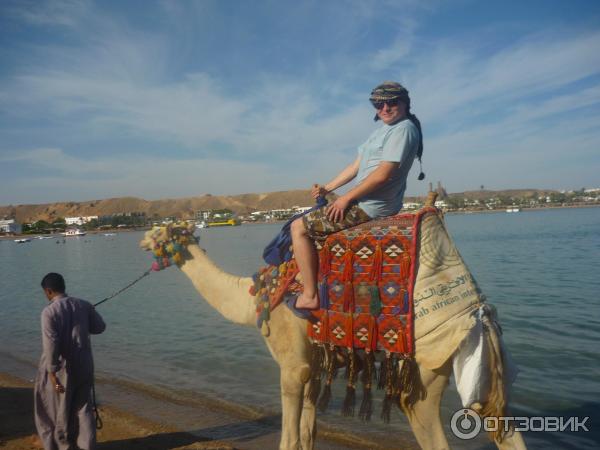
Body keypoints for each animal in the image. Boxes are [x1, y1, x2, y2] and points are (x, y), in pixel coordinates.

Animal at [139, 197, 524, 450]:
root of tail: (477, 309)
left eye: (159, 233)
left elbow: (289, 438)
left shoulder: (292, 365)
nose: (142, 240)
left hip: (428, 366)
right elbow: (306, 435)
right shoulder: (312, 365)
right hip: (473, 360)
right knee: (501, 422)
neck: (254, 300)